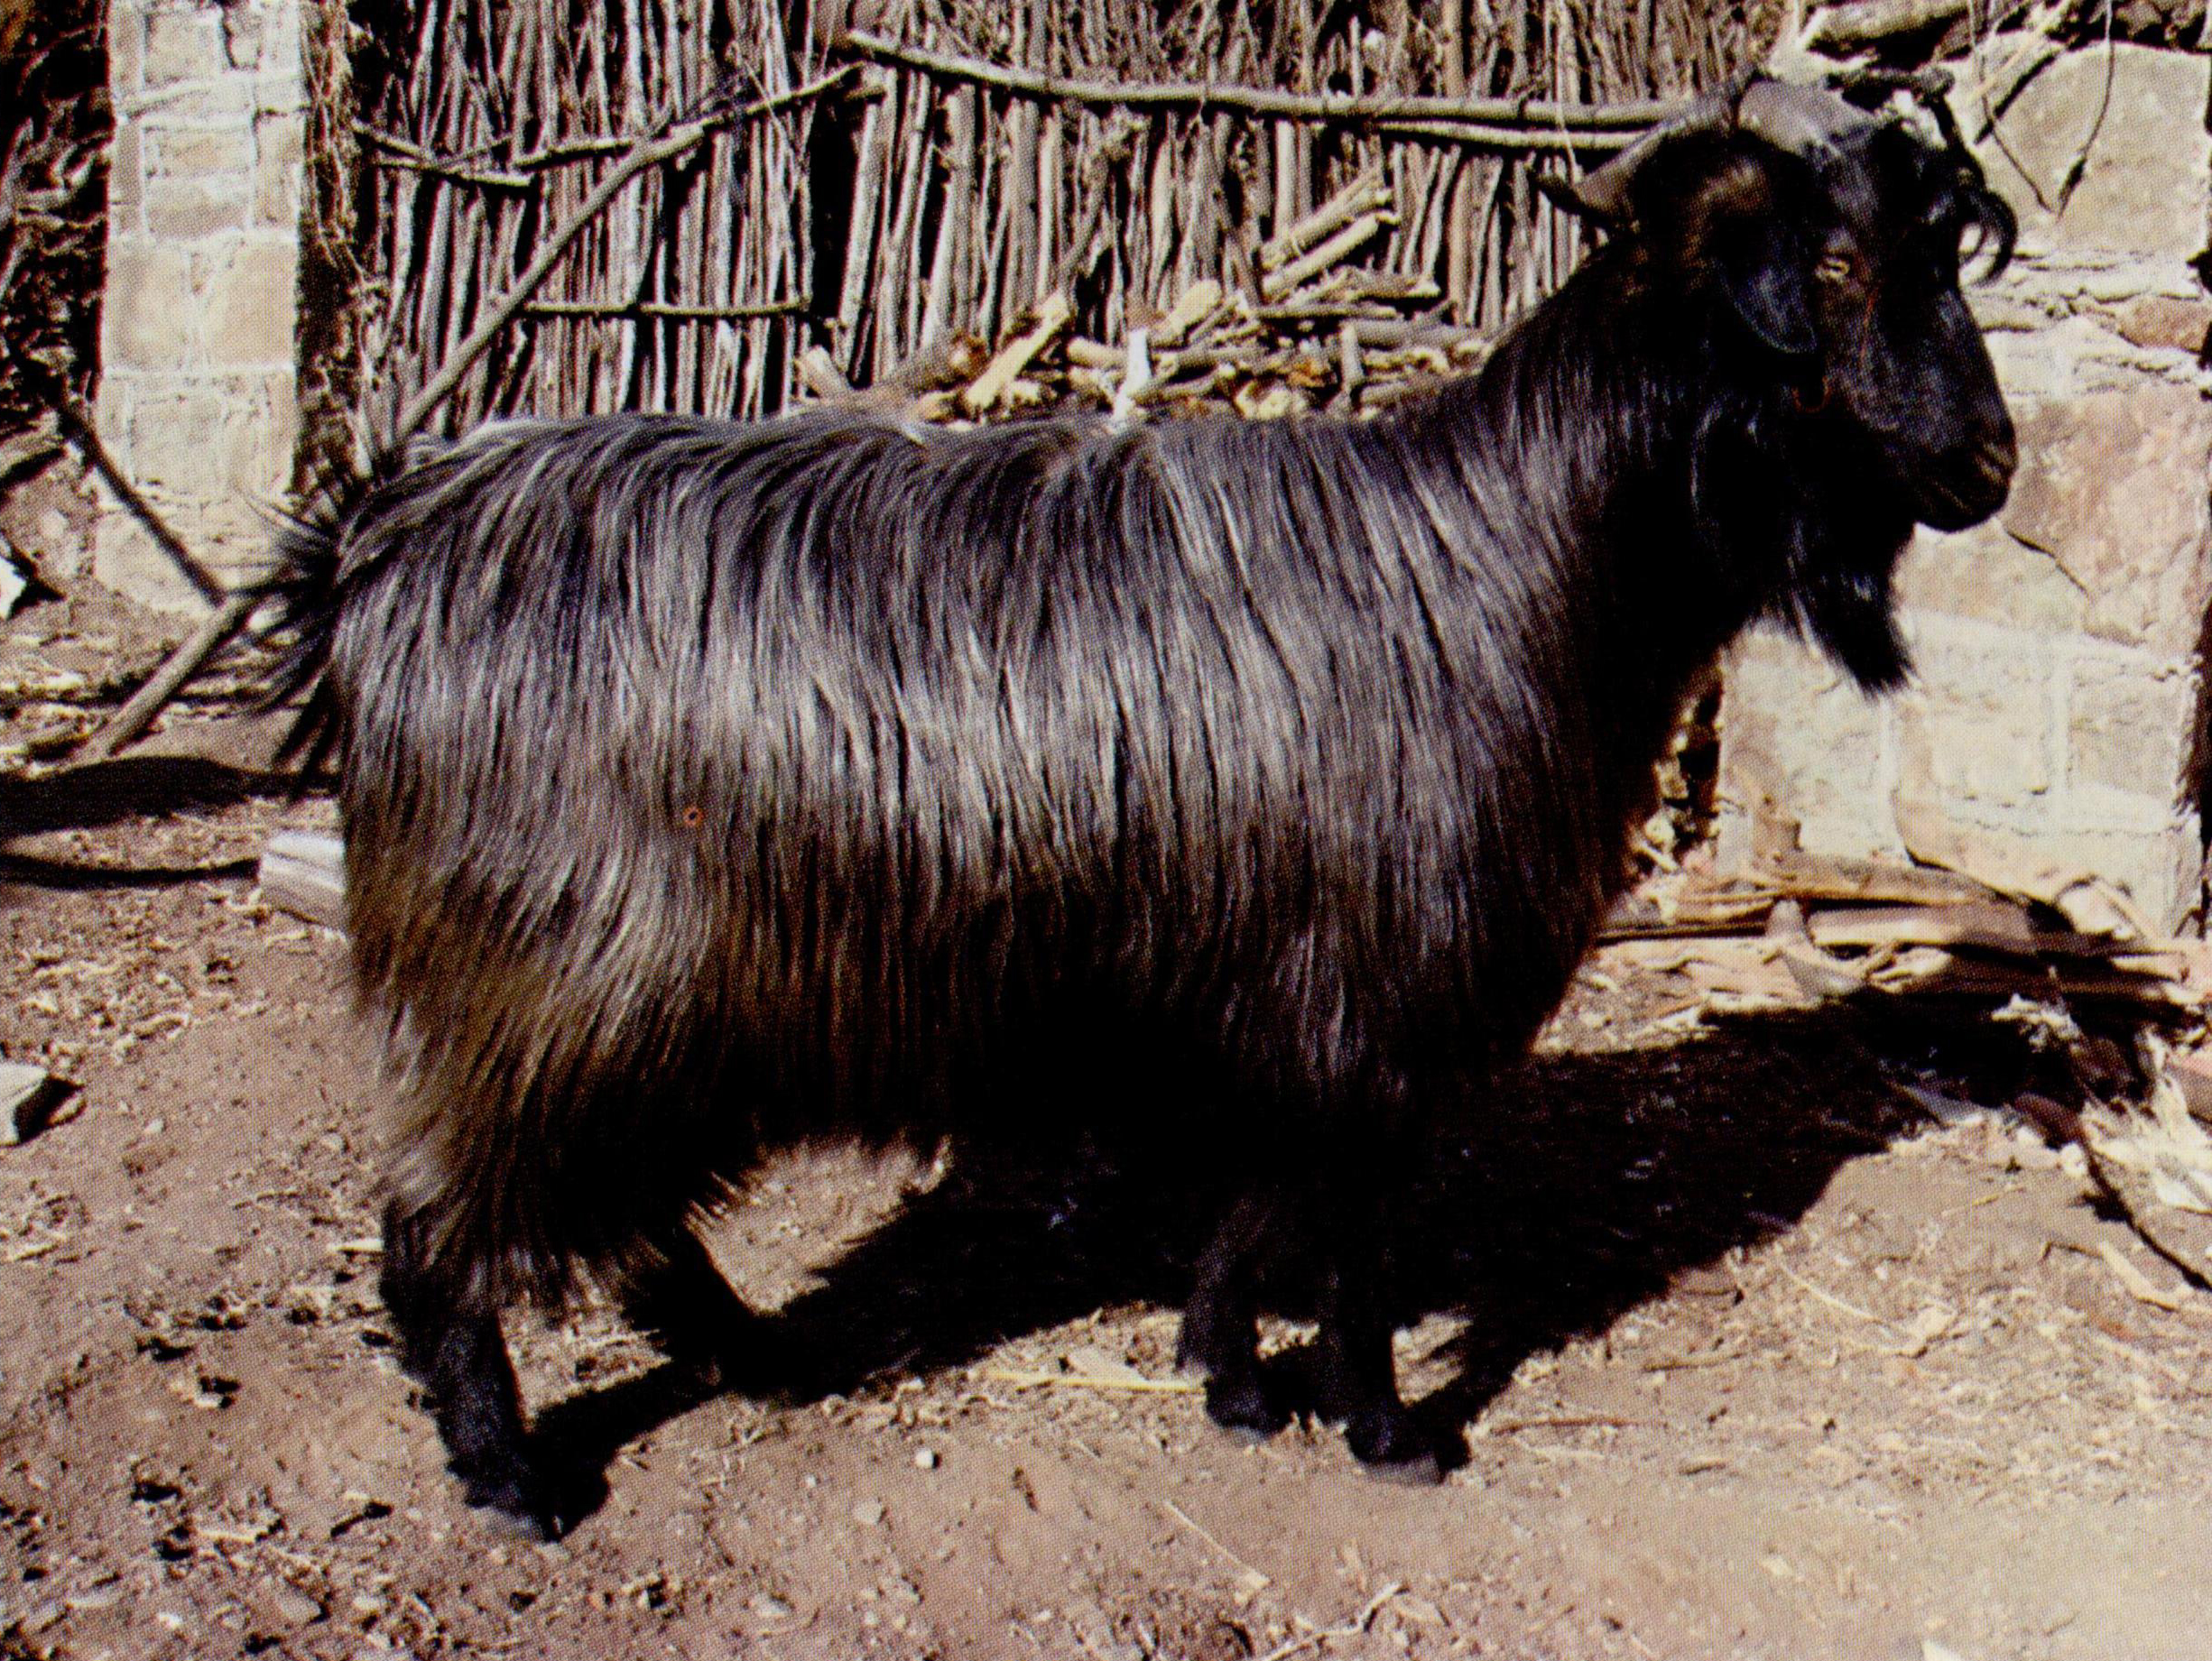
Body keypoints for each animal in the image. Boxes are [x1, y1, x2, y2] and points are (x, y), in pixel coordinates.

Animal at [256, 75, 2016, 1536]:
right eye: (1833, 272)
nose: (1991, 463)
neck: (1517, 557)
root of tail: (373, 550)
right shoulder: (1374, 1006)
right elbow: (1353, 1237)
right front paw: (1385, 1429)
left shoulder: (1283, 1007)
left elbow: (1251, 1207)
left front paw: (1231, 1381)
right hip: (542, 974)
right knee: (436, 1227)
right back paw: (508, 1468)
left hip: (641, 996)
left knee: (611, 1199)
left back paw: (743, 1349)